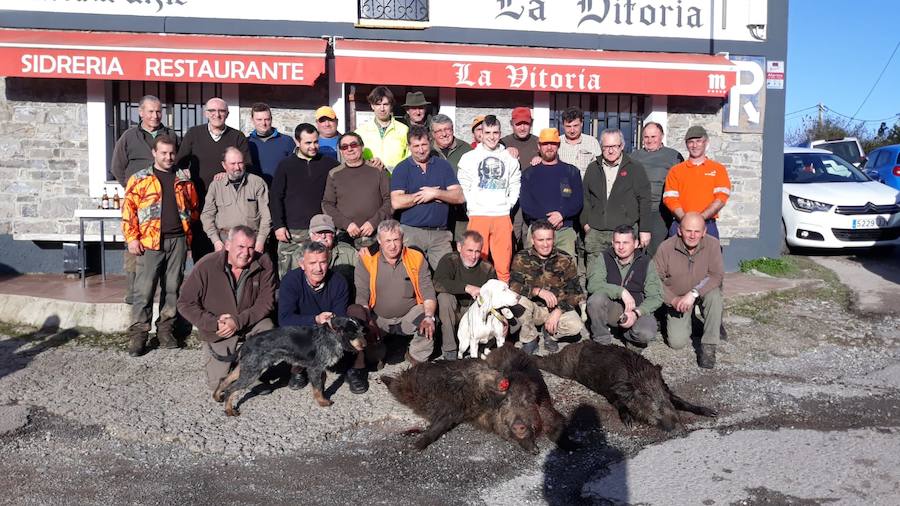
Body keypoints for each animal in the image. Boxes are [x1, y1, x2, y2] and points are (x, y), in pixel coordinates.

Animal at [211, 318, 366, 418]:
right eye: (353, 333)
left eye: (362, 331)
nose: (364, 345)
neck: (331, 335)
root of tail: (246, 343)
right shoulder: (315, 369)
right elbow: (317, 389)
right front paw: (322, 402)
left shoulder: (320, 369)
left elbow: (320, 386)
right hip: (251, 372)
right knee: (231, 389)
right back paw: (229, 411)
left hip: (247, 368)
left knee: (224, 380)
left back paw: (217, 396)